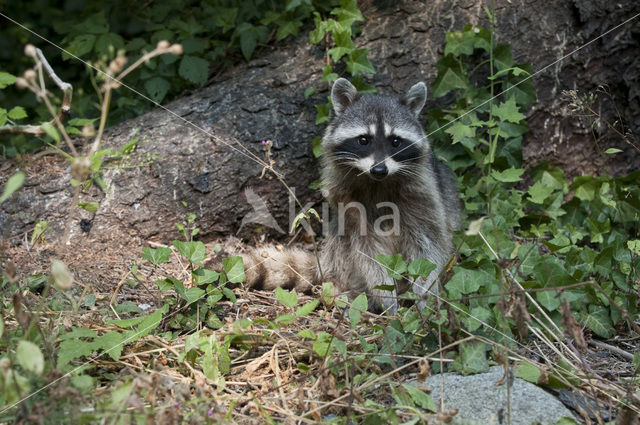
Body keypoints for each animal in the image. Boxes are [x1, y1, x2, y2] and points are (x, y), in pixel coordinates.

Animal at [241, 78, 460, 312]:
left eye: (395, 141)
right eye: (364, 140)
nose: (379, 169)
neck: (378, 182)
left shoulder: (423, 195)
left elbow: (428, 247)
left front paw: (425, 294)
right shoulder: (349, 201)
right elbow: (367, 252)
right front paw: (385, 295)